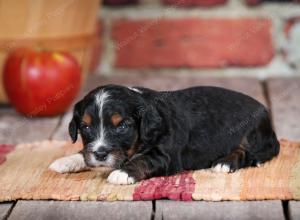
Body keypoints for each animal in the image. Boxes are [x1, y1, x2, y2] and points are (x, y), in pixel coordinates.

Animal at [48, 84, 278, 184]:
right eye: (85, 127)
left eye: (122, 126)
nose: (101, 154)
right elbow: (84, 153)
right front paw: (66, 160)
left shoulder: (166, 156)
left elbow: (143, 160)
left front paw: (122, 173)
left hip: (253, 133)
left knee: (247, 151)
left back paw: (225, 163)